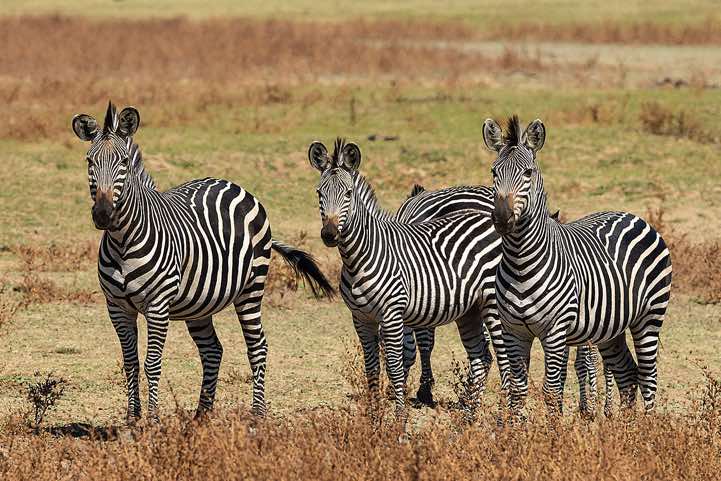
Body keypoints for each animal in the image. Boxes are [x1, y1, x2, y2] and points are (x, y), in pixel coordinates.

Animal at [71, 102, 334, 422]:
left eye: (123, 162)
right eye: (89, 162)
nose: (103, 214)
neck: (122, 240)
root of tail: (233, 184)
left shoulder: (157, 306)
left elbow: (152, 363)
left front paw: (152, 421)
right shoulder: (117, 308)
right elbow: (130, 362)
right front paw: (132, 420)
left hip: (251, 288)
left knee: (257, 347)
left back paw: (257, 415)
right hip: (199, 303)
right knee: (213, 350)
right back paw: (201, 415)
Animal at [308, 138, 505, 419]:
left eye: (348, 193)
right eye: (319, 193)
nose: (329, 234)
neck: (360, 257)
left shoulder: (394, 315)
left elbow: (397, 363)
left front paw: (400, 416)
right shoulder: (361, 319)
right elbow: (372, 368)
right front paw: (374, 417)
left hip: (493, 303)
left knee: (507, 358)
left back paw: (506, 416)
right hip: (471, 309)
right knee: (482, 357)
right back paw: (469, 415)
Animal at [483, 115, 672, 414]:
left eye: (527, 173)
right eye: (493, 172)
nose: (502, 219)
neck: (520, 262)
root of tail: (633, 215)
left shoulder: (555, 332)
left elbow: (551, 391)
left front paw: (553, 428)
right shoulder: (514, 331)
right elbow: (518, 391)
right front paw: (516, 427)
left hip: (650, 316)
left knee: (649, 375)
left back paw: (647, 425)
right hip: (610, 327)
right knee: (627, 373)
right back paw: (627, 425)